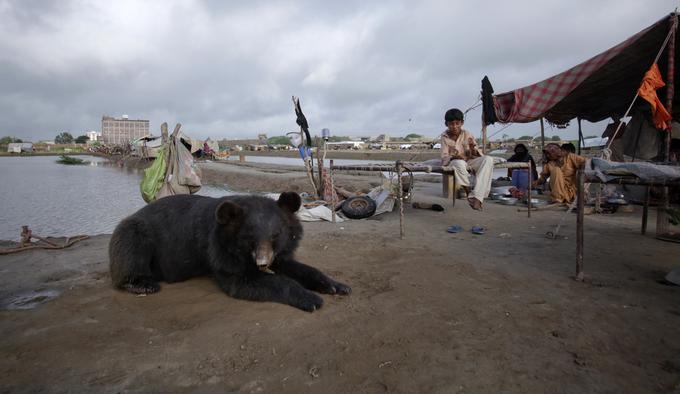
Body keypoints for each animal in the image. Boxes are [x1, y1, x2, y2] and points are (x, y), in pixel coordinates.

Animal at [107, 192, 350, 312]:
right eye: (250, 238)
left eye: (276, 235)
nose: (262, 263)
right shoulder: (219, 249)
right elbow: (242, 280)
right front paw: (311, 298)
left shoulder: (279, 252)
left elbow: (294, 265)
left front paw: (337, 286)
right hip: (134, 231)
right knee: (131, 250)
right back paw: (143, 284)